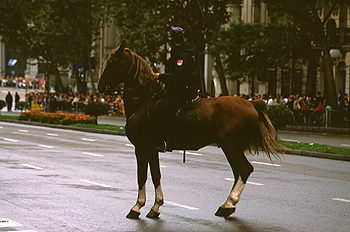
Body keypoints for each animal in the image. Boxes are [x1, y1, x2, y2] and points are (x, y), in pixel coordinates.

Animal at [98, 40, 282, 219]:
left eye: (113, 64)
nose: (100, 86)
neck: (143, 102)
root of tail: (250, 102)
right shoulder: (151, 149)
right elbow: (156, 175)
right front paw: (156, 206)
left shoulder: (142, 147)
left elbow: (142, 176)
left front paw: (137, 207)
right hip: (232, 148)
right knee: (238, 172)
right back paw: (226, 205)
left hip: (231, 146)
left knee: (244, 170)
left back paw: (228, 204)